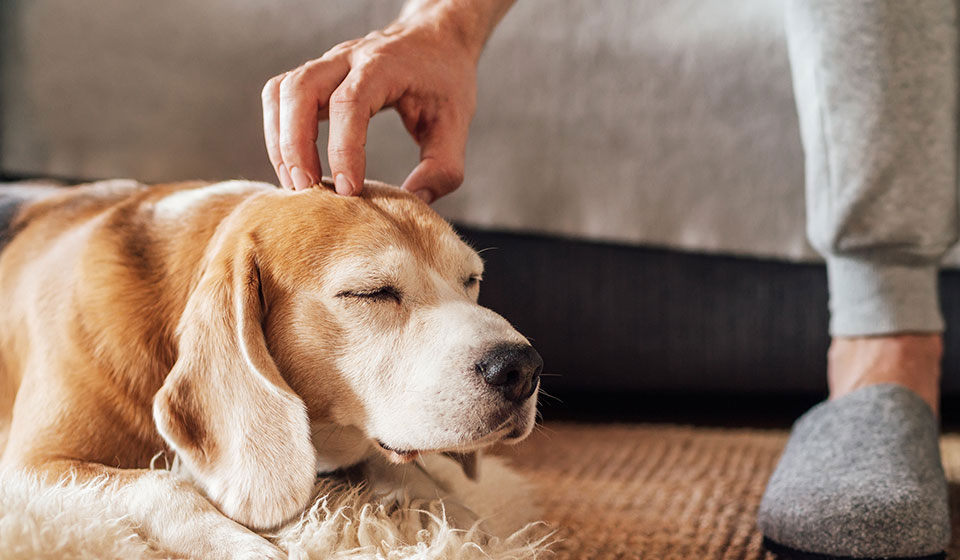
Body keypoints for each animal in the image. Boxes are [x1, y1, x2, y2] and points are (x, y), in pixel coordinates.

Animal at [0, 180, 540, 560]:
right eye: (371, 293)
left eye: (471, 281)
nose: (522, 368)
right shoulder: (29, 466)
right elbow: (161, 485)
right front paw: (239, 544)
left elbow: (406, 473)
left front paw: (463, 524)